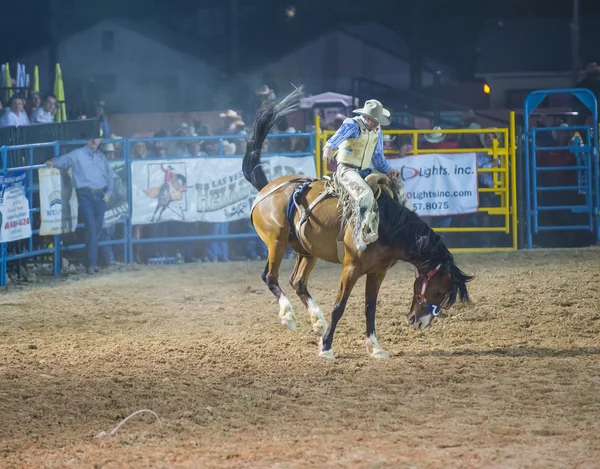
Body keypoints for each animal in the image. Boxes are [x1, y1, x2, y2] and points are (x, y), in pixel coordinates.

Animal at [241, 88, 472, 358]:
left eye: (443, 293)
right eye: (437, 290)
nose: (419, 322)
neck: (387, 226)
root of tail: (268, 187)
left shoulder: (377, 272)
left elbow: (370, 308)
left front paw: (375, 348)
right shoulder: (350, 268)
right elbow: (339, 306)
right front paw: (327, 348)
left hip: (307, 250)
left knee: (297, 282)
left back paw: (317, 321)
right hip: (275, 241)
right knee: (270, 277)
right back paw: (289, 317)